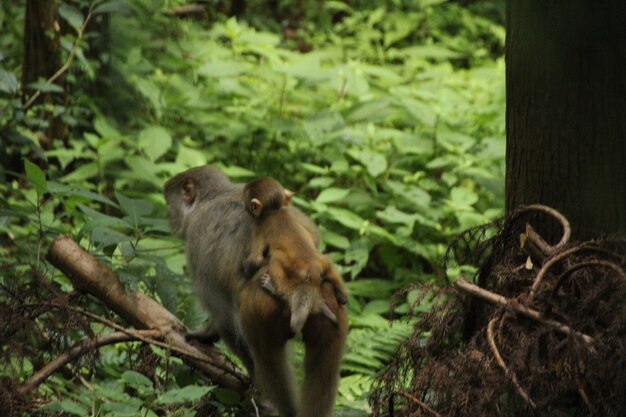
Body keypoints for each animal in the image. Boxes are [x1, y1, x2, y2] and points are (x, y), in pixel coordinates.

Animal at [241, 177, 346, 334]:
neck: (274, 211)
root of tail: (313, 270)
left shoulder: (258, 226)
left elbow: (256, 260)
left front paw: (247, 270)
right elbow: (314, 237)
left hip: (297, 270)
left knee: (276, 257)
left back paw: (276, 290)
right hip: (322, 265)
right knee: (328, 262)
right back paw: (342, 296)